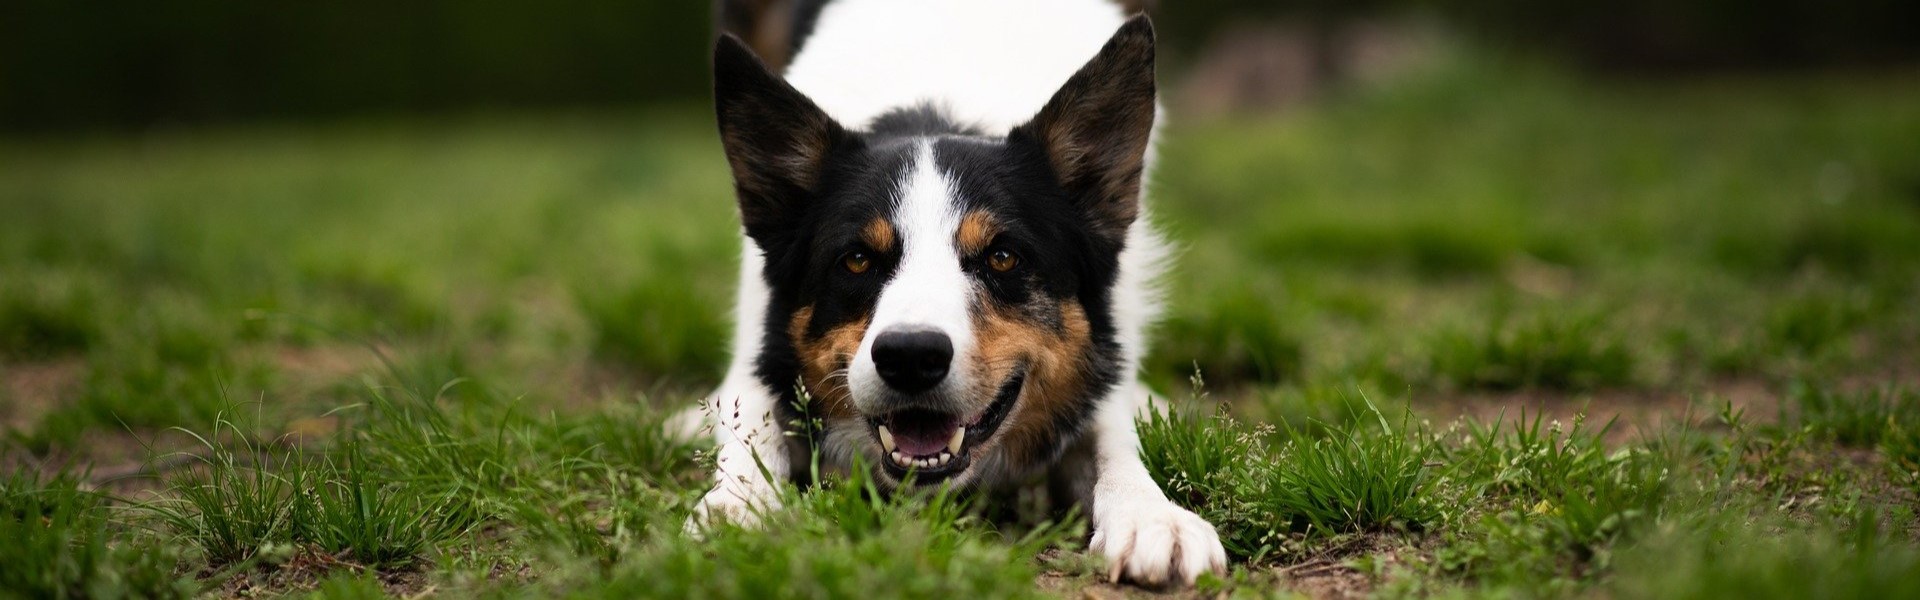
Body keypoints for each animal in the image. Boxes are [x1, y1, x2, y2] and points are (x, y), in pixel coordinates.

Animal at [698, 0, 1221, 584]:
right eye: (856, 259)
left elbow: (1112, 435)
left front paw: (1151, 514)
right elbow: (753, 422)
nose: (910, 356)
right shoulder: (757, 340)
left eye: (1003, 257)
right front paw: (736, 506)